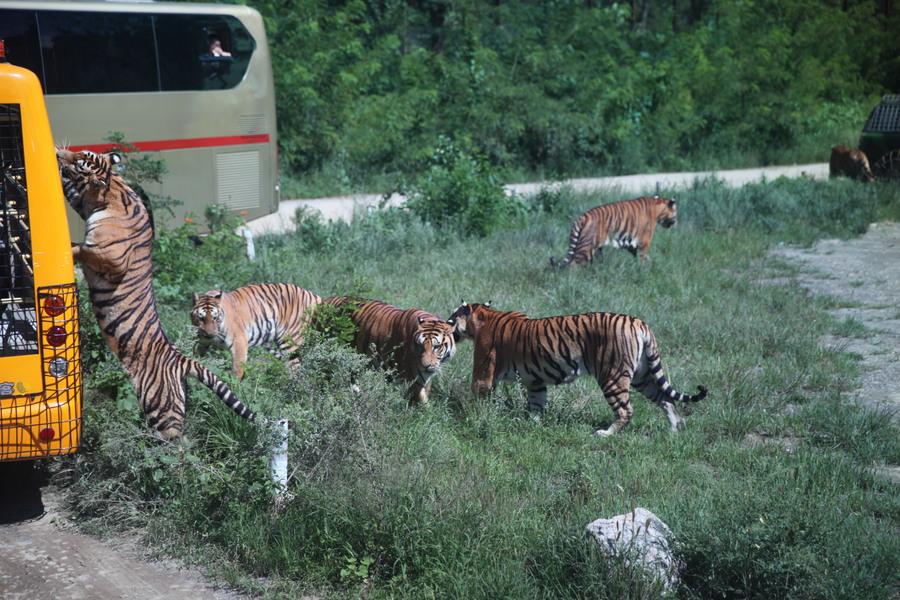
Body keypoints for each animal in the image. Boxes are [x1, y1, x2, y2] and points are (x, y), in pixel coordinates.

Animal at [56, 150, 255, 440]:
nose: (62, 154)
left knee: (177, 447)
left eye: (82, 161)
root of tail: (181, 360)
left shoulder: (110, 256)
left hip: (163, 410)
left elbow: (82, 248)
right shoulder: (83, 202)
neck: (113, 191)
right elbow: (71, 193)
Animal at [192, 284, 326, 378]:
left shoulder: (239, 341)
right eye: (201, 318)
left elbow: (237, 368)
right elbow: (197, 353)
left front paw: (234, 385)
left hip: (290, 340)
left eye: (215, 318)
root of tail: (312, 295)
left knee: (296, 368)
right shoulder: (202, 341)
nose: (209, 334)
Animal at [326, 296, 458, 404]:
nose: (425, 366)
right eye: (420, 346)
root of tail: (328, 300)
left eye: (436, 347)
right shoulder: (413, 380)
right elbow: (422, 402)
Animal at [446, 302, 708, 434]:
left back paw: (605, 433)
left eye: (451, 317)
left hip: (612, 375)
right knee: (666, 399)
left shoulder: (482, 376)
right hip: (642, 376)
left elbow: (477, 398)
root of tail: (639, 323)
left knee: (626, 410)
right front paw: (532, 424)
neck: (483, 315)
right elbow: (536, 404)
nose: (448, 325)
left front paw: (470, 419)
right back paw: (674, 429)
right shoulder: (535, 381)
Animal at [552, 195, 680, 268]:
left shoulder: (632, 244)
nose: (676, 222)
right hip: (586, 248)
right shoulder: (644, 242)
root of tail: (583, 217)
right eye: (675, 212)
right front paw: (646, 271)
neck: (658, 209)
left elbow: (645, 258)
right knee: (573, 265)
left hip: (595, 249)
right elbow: (644, 258)